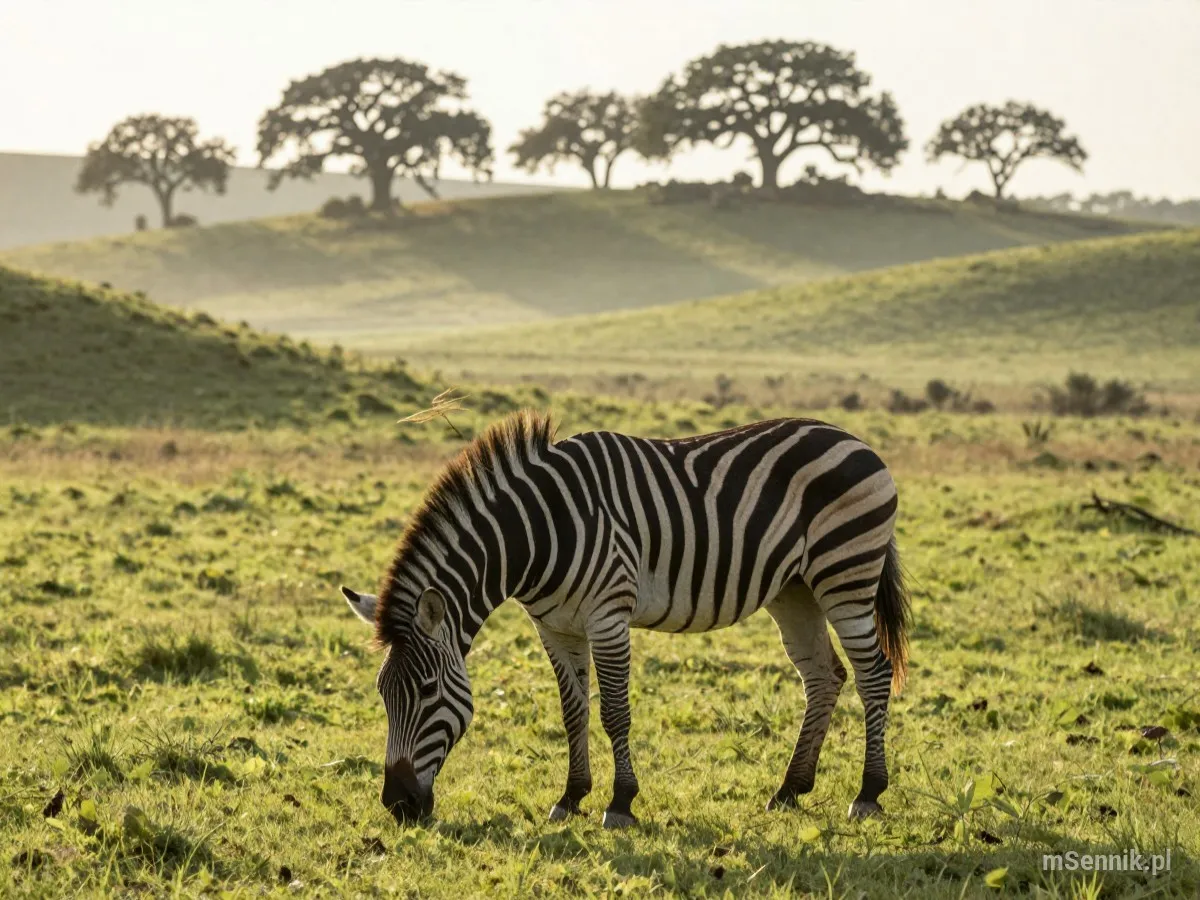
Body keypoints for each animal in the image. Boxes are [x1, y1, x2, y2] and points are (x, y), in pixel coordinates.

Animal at [338, 410, 911, 829]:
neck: (539, 533)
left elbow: (614, 712)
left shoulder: (608, 616)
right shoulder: (555, 627)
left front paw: (620, 803)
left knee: (874, 673)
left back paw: (868, 793)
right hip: (795, 590)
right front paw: (570, 798)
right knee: (824, 677)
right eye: (383, 694)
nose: (398, 806)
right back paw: (790, 789)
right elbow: (573, 712)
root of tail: (855, 439)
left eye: (429, 691)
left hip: (845, 575)